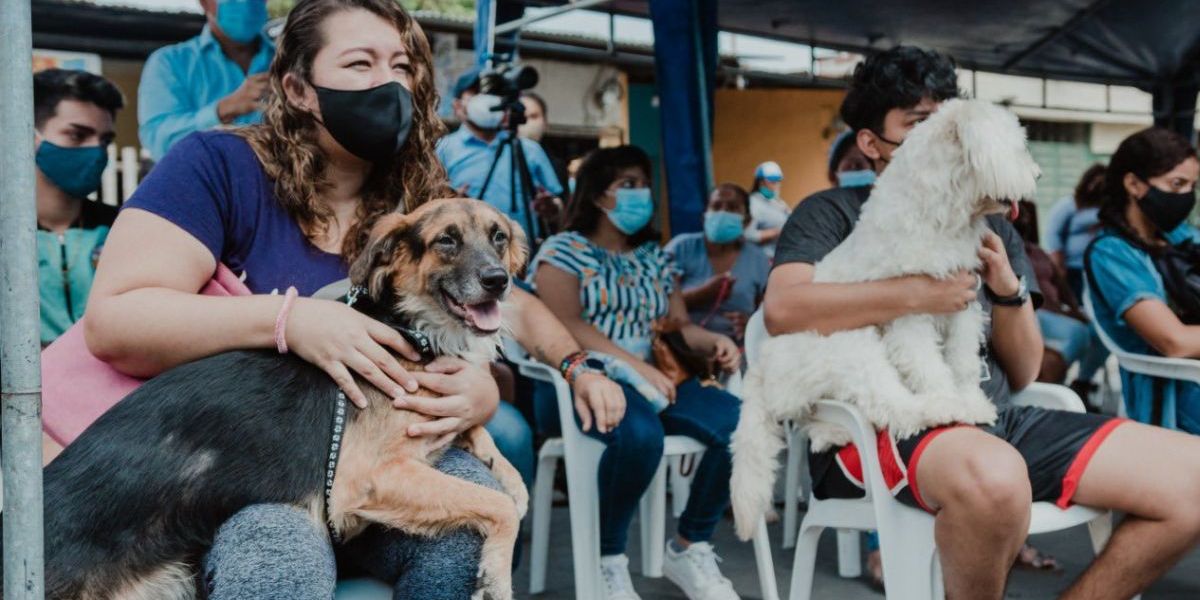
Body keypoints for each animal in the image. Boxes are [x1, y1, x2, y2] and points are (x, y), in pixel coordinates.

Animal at [21, 199, 528, 597]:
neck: (409, 327)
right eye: (447, 240)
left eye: (498, 236)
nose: (498, 280)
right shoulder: (365, 477)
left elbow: (481, 439)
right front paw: (497, 577)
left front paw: (513, 479)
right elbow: (496, 504)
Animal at [724, 99, 1046, 540]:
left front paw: (974, 402)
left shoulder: (962, 306)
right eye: (1016, 147)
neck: (943, 213)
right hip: (851, 344)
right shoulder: (911, 312)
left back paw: (836, 432)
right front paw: (950, 400)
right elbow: (930, 368)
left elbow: (963, 363)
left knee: (830, 419)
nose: (1039, 175)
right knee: (888, 402)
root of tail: (760, 368)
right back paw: (936, 412)